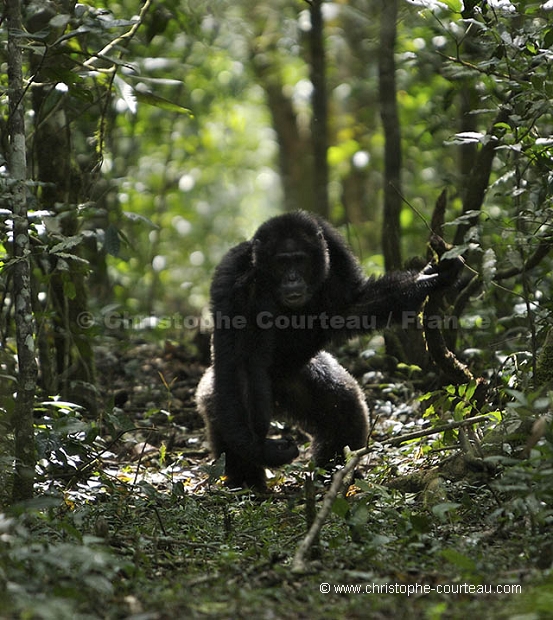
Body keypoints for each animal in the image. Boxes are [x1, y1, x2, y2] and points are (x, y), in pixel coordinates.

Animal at [194, 213, 462, 490]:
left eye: (299, 260)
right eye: (281, 263)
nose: (292, 278)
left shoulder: (335, 249)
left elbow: (352, 303)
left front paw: (429, 278)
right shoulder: (233, 277)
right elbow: (241, 360)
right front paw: (261, 448)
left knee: (344, 407)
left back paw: (332, 474)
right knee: (225, 410)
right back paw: (245, 482)